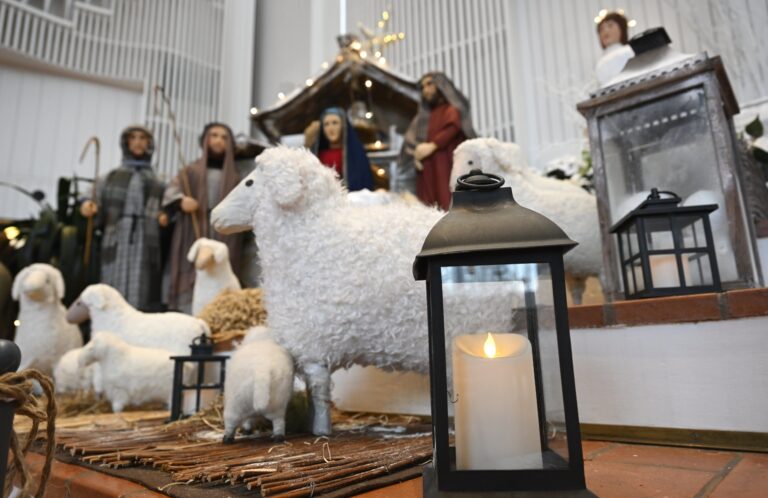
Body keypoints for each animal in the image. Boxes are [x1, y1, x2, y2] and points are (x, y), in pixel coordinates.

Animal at [211, 146, 523, 435]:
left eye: (249, 182)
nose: (214, 216)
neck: (311, 234)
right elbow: (315, 395)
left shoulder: (314, 346)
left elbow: (320, 397)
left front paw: (321, 433)